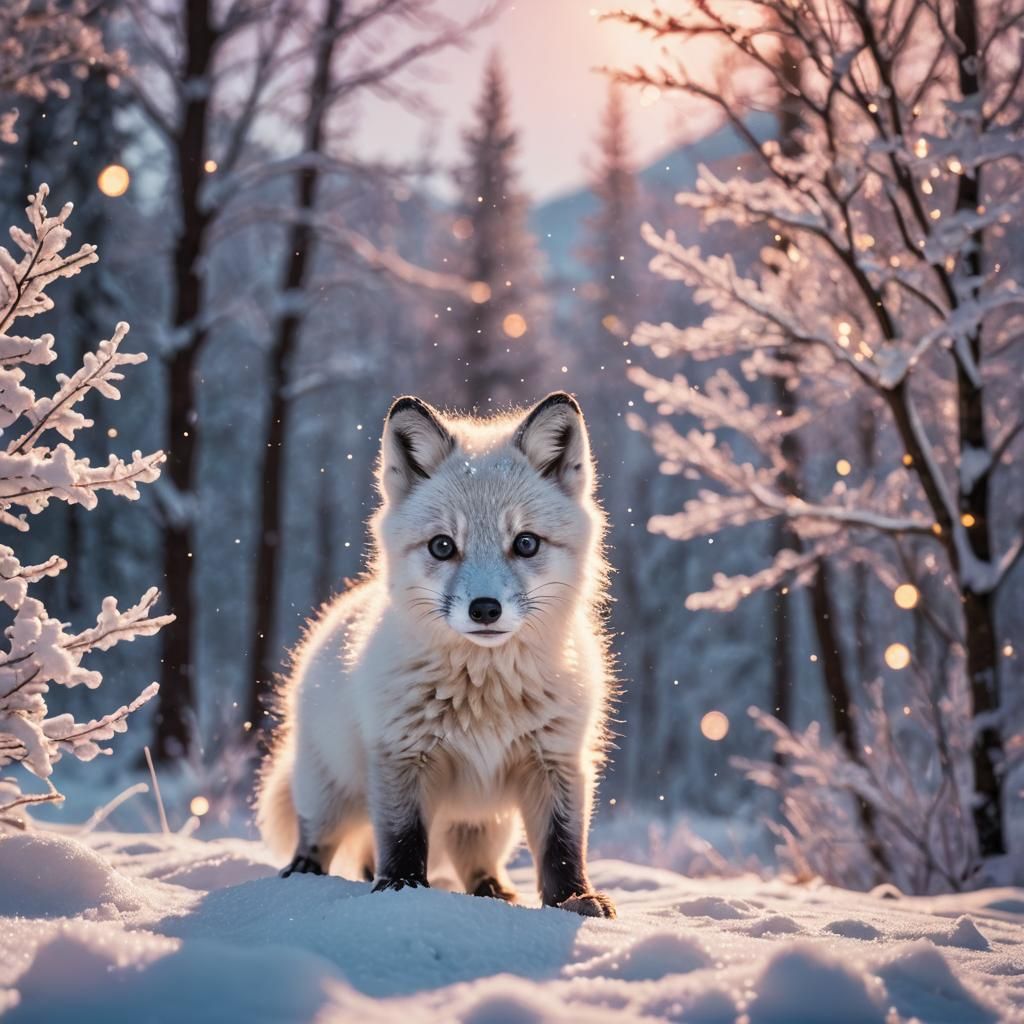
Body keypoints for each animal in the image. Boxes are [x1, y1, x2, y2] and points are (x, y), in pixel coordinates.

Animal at [255, 391, 616, 917]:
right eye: (443, 546)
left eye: (526, 543)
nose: (484, 608)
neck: (486, 693)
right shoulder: (401, 757)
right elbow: (403, 840)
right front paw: (403, 891)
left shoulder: (557, 760)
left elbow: (562, 846)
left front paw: (574, 899)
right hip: (330, 791)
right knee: (322, 838)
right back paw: (303, 875)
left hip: (486, 821)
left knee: (473, 862)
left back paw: (493, 891)